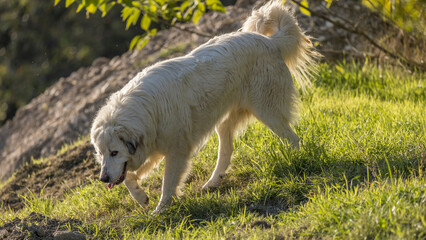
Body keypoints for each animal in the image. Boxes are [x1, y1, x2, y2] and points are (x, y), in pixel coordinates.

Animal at [92, 0, 320, 214]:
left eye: (114, 152)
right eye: (101, 153)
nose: (103, 179)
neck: (148, 110)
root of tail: (270, 41)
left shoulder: (176, 152)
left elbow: (167, 184)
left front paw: (160, 211)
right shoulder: (151, 148)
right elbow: (130, 176)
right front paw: (141, 197)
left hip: (268, 112)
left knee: (292, 138)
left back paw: (296, 161)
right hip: (225, 121)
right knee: (226, 152)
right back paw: (212, 183)